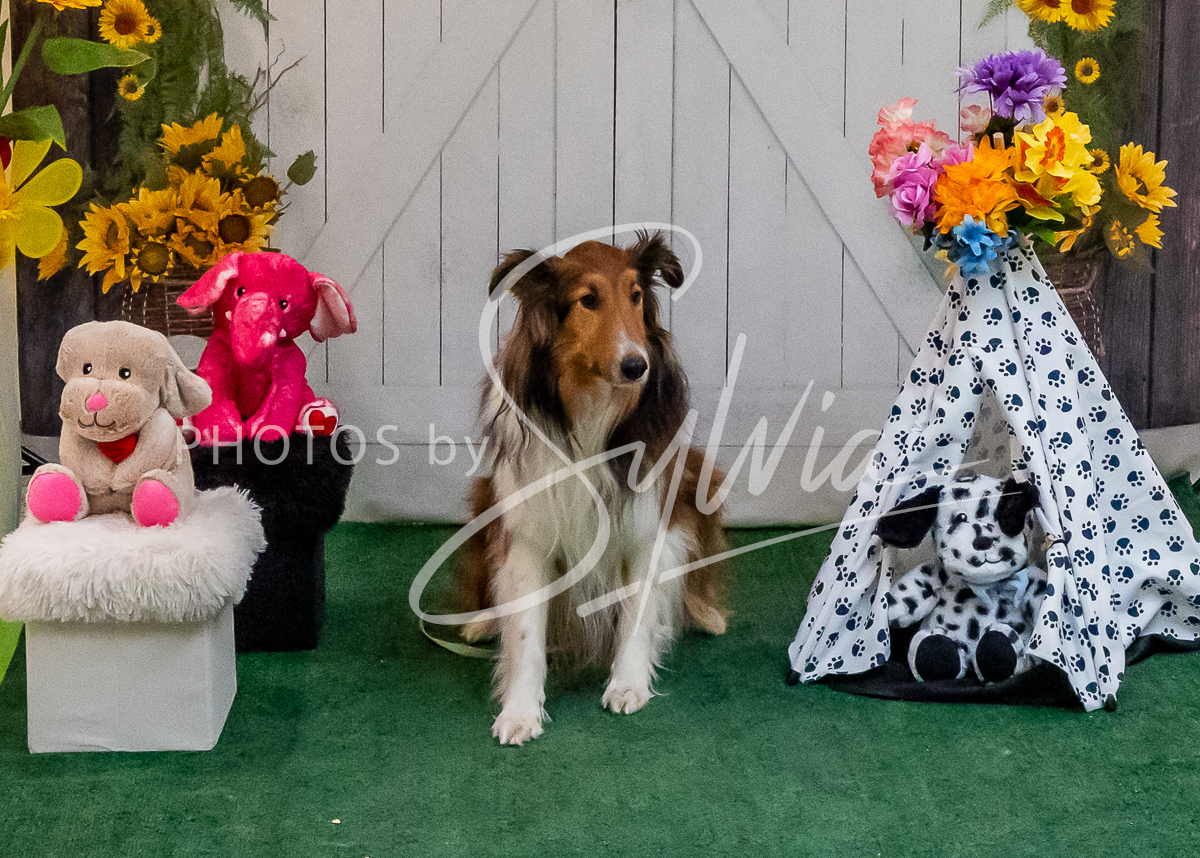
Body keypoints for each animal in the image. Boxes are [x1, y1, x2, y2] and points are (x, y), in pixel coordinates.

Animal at [458, 232, 727, 745]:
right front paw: (520, 712)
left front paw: (628, 684)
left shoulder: (646, 528)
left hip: (697, 482)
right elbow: (525, 631)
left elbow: (638, 615)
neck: (590, 409)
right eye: (588, 300)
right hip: (486, 499)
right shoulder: (529, 534)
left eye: (636, 295)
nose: (637, 366)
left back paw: (707, 614)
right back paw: (482, 622)